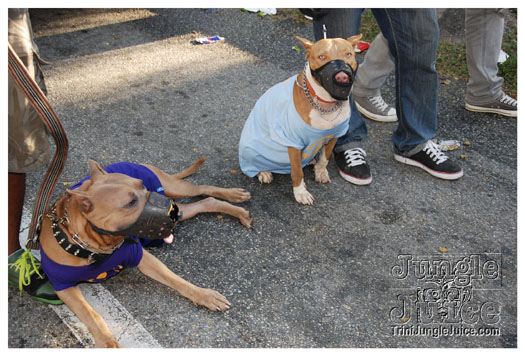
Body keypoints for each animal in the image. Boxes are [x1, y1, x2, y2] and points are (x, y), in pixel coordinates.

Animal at [39, 159, 252, 348]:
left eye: (141, 184)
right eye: (130, 202)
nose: (170, 208)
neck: (96, 246)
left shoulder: (142, 257)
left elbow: (177, 281)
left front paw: (205, 295)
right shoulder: (63, 287)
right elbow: (91, 315)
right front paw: (107, 341)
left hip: (174, 189)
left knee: (203, 189)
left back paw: (234, 197)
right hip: (181, 209)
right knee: (204, 202)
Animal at [239, 35, 362, 204]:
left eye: (348, 54)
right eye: (321, 56)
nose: (342, 77)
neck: (325, 105)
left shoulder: (335, 135)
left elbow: (325, 158)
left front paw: (320, 172)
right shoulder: (293, 142)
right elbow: (297, 172)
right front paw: (300, 192)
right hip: (250, 150)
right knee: (254, 165)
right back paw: (263, 172)